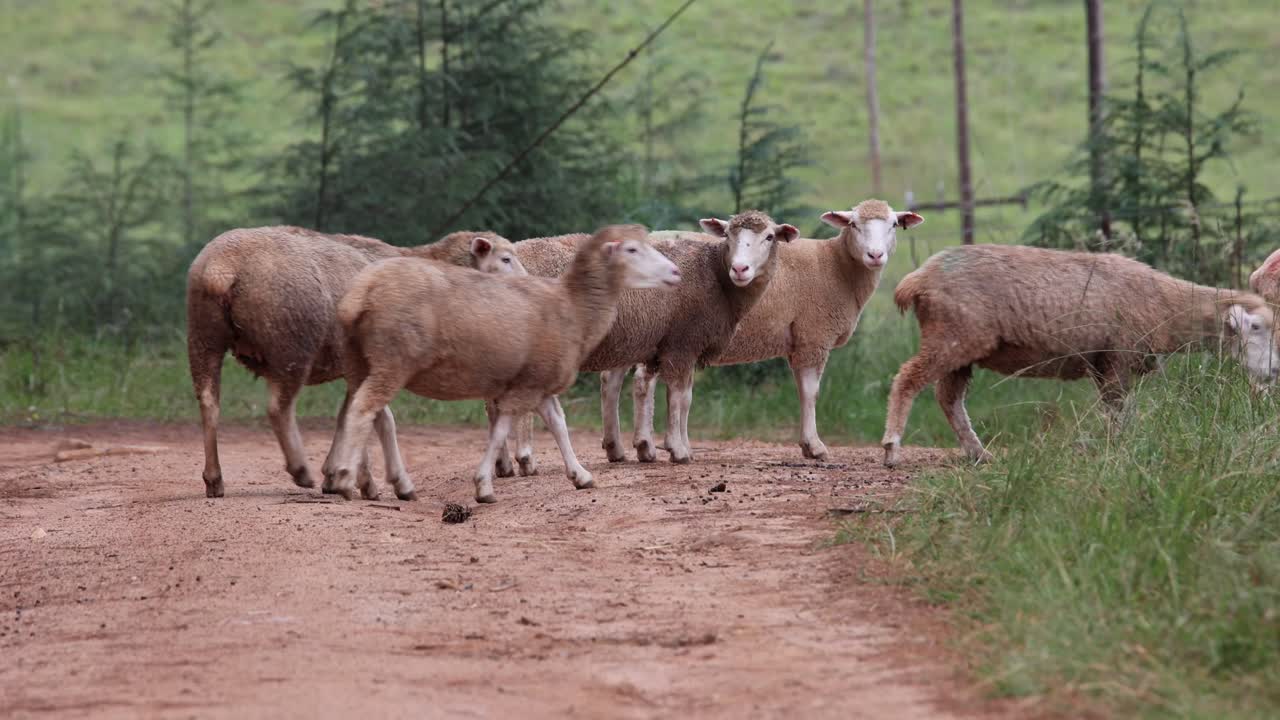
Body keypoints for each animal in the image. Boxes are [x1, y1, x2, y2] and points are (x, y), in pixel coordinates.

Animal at [185, 225, 524, 499]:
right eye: (506, 258)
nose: (528, 284)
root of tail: (222, 268)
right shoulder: (374, 364)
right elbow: (378, 419)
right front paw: (370, 481)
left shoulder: (356, 369)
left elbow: (347, 417)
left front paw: (337, 476)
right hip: (290, 343)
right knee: (278, 408)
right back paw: (300, 469)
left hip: (203, 338)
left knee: (208, 403)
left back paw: (214, 479)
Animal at [325, 224, 681, 503]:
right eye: (632, 249)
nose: (676, 272)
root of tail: (360, 294)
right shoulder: (528, 382)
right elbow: (511, 426)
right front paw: (490, 479)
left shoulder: (532, 381)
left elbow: (553, 423)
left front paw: (578, 474)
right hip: (391, 362)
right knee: (365, 411)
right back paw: (349, 477)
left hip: (361, 364)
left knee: (368, 414)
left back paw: (370, 479)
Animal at [497, 210, 799, 468]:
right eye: (727, 235)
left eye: (769, 237)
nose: (740, 269)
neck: (716, 276)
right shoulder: (682, 342)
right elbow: (679, 396)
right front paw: (677, 449)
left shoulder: (670, 345)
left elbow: (682, 397)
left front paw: (676, 446)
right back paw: (525, 459)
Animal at [627, 199, 924, 462]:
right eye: (853, 224)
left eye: (894, 224)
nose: (875, 255)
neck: (837, 267)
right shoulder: (814, 336)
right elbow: (811, 392)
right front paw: (814, 446)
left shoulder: (799, 342)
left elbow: (802, 390)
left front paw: (807, 444)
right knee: (645, 380)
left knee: (638, 379)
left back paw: (642, 447)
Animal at [882, 243, 1280, 467]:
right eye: (1256, 327)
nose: (1275, 370)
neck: (1165, 304)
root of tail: (918, 279)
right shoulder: (1117, 358)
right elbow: (1118, 412)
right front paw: (1119, 450)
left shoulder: (1107, 364)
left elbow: (1116, 411)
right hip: (952, 337)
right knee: (907, 380)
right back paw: (892, 449)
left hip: (961, 347)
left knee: (948, 399)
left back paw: (979, 454)